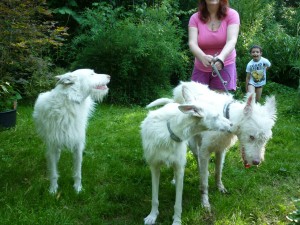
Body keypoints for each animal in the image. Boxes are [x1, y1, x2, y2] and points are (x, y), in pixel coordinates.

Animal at [141, 85, 232, 225]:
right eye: (216, 116)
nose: (232, 124)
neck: (170, 131)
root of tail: (174, 103)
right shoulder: (154, 167)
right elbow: (154, 198)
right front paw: (152, 216)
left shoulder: (180, 169)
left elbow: (178, 203)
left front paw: (177, 221)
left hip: (194, 150)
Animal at [147, 81, 276, 212]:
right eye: (251, 137)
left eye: (265, 139)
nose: (257, 162)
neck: (228, 117)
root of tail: (183, 84)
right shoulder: (205, 151)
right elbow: (204, 182)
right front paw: (205, 202)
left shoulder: (220, 151)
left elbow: (218, 172)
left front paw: (220, 187)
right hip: (191, 143)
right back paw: (176, 178)